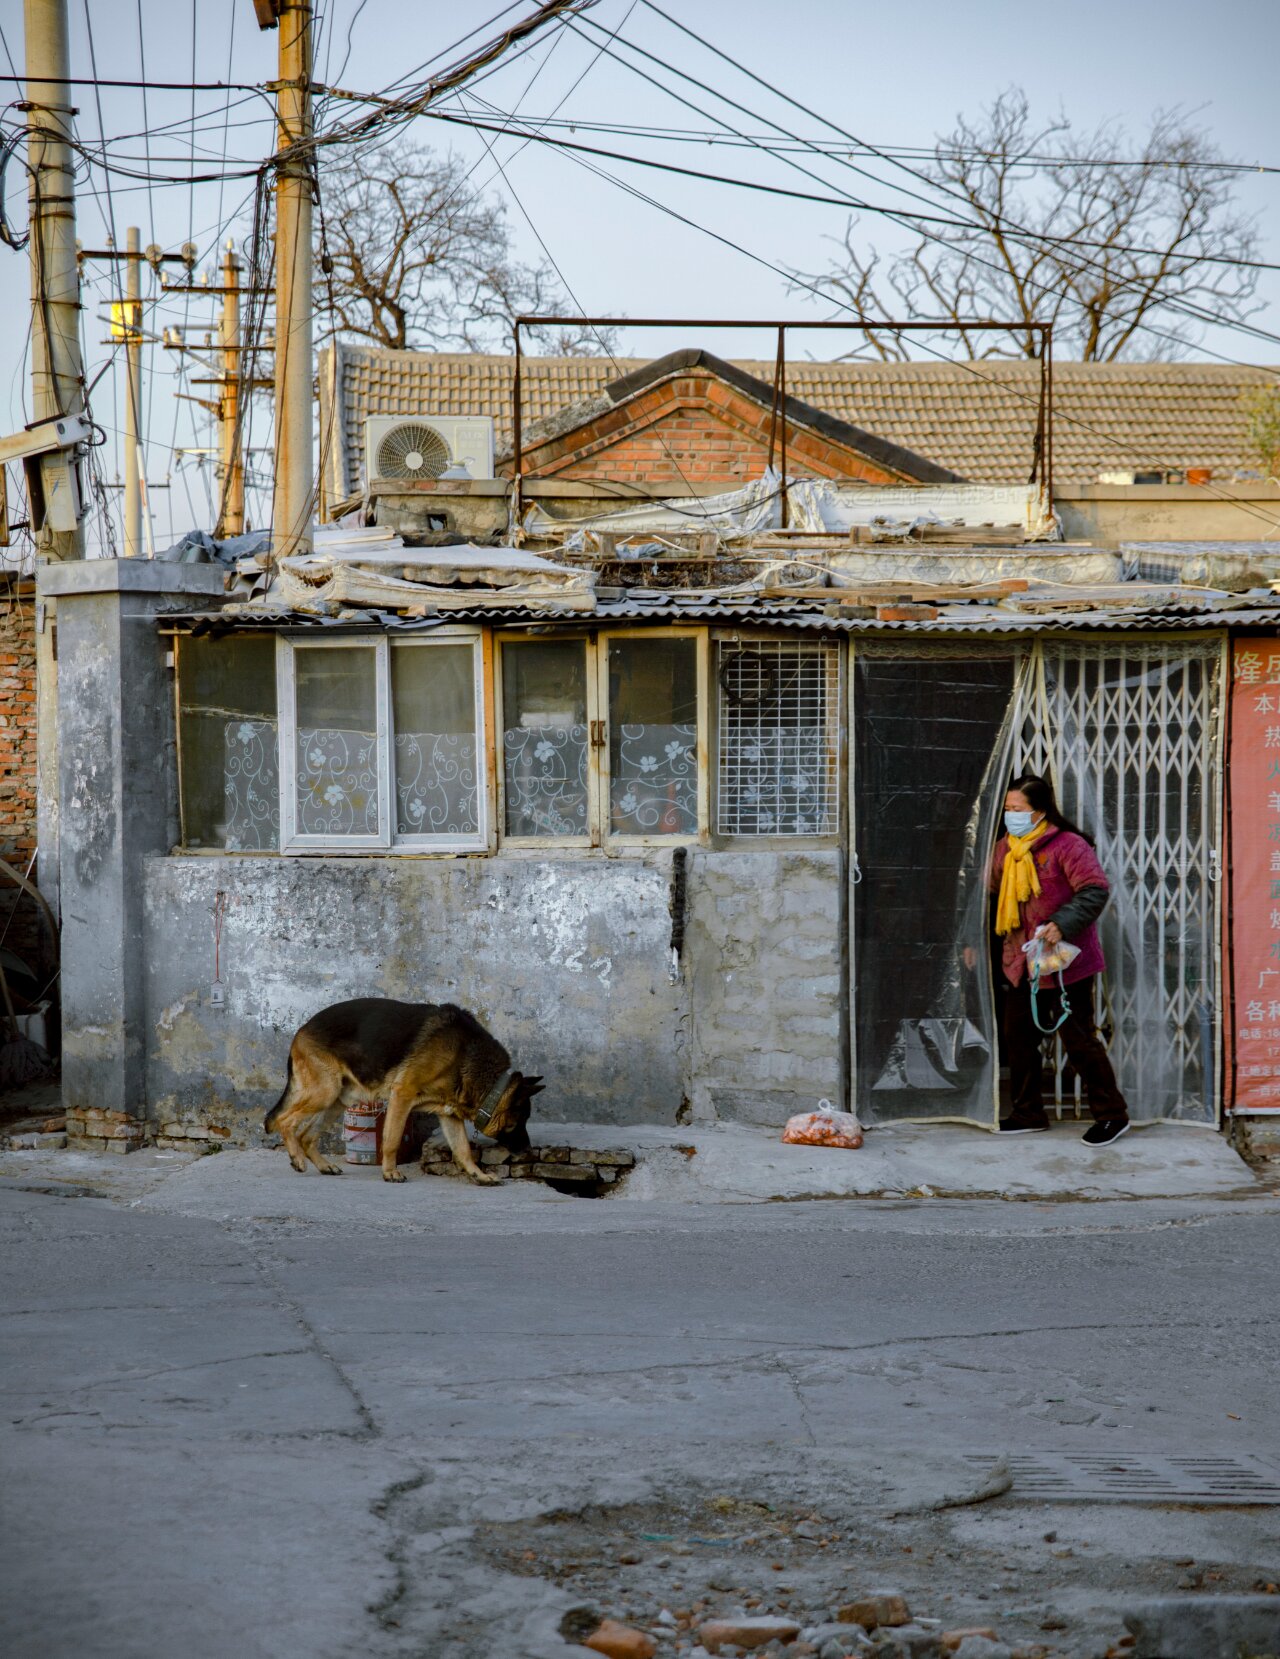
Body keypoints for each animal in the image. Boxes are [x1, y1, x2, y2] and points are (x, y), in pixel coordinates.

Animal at [265, 995, 543, 1181]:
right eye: (517, 1123)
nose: (528, 1151)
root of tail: (301, 1029)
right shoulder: (402, 1095)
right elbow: (392, 1139)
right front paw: (390, 1172)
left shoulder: (449, 1114)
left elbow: (463, 1150)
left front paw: (479, 1175)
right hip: (325, 1092)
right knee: (285, 1121)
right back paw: (297, 1158)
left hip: (339, 1099)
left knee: (306, 1135)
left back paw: (323, 1166)